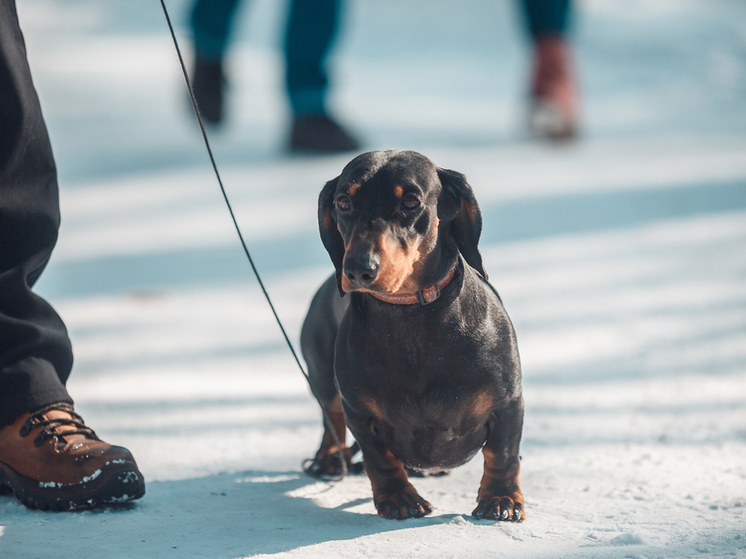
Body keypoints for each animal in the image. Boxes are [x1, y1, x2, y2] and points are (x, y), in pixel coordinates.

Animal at [298, 151, 524, 524]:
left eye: (410, 201)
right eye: (343, 202)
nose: (357, 269)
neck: (412, 315)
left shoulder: (507, 403)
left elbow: (503, 454)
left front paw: (501, 499)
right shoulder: (359, 413)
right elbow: (380, 460)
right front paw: (399, 499)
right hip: (323, 378)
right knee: (331, 418)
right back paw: (329, 459)